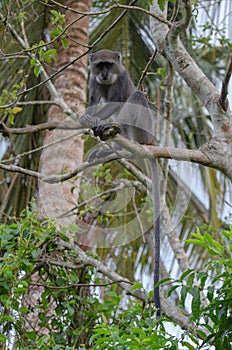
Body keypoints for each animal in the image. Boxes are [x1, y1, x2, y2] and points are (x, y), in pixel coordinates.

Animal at [80, 49, 161, 318]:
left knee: (135, 98)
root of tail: (152, 141)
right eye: (100, 65)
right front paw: (88, 117)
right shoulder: (93, 81)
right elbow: (94, 100)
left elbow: (117, 101)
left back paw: (116, 137)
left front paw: (92, 120)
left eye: (110, 65)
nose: (105, 73)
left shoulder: (121, 79)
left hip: (142, 131)